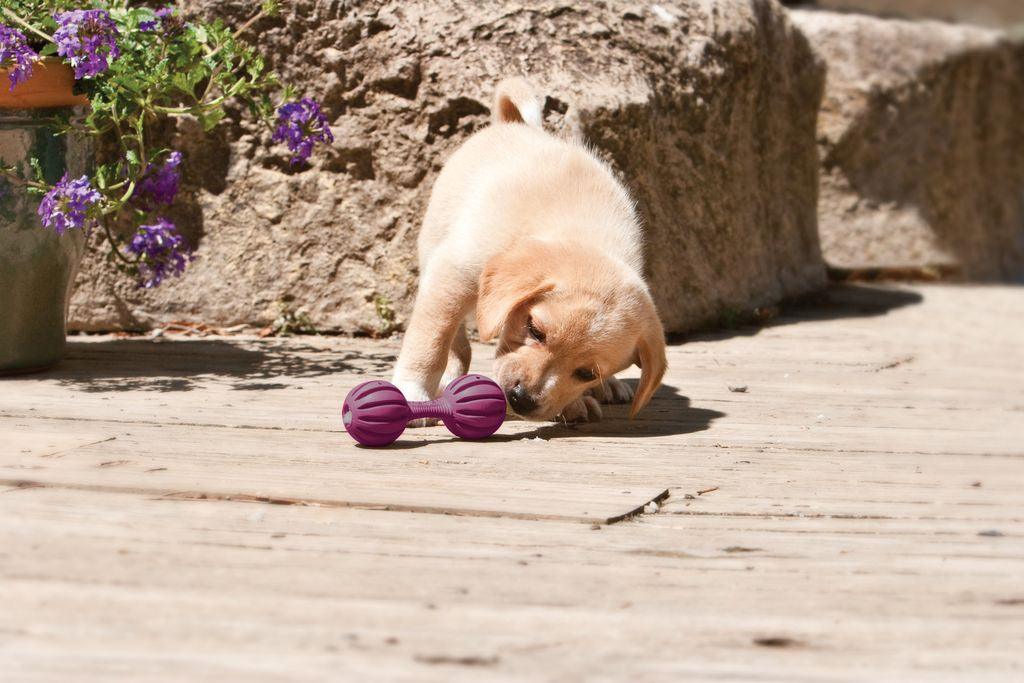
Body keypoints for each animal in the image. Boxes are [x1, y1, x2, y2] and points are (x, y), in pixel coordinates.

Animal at [389, 78, 663, 421]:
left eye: (586, 373)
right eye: (535, 330)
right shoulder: (452, 275)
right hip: (434, 255)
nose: (520, 399)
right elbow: (430, 341)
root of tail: (514, 125)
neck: (580, 232)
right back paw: (450, 375)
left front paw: (576, 402)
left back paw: (610, 387)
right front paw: (413, 393)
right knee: (456, 340)